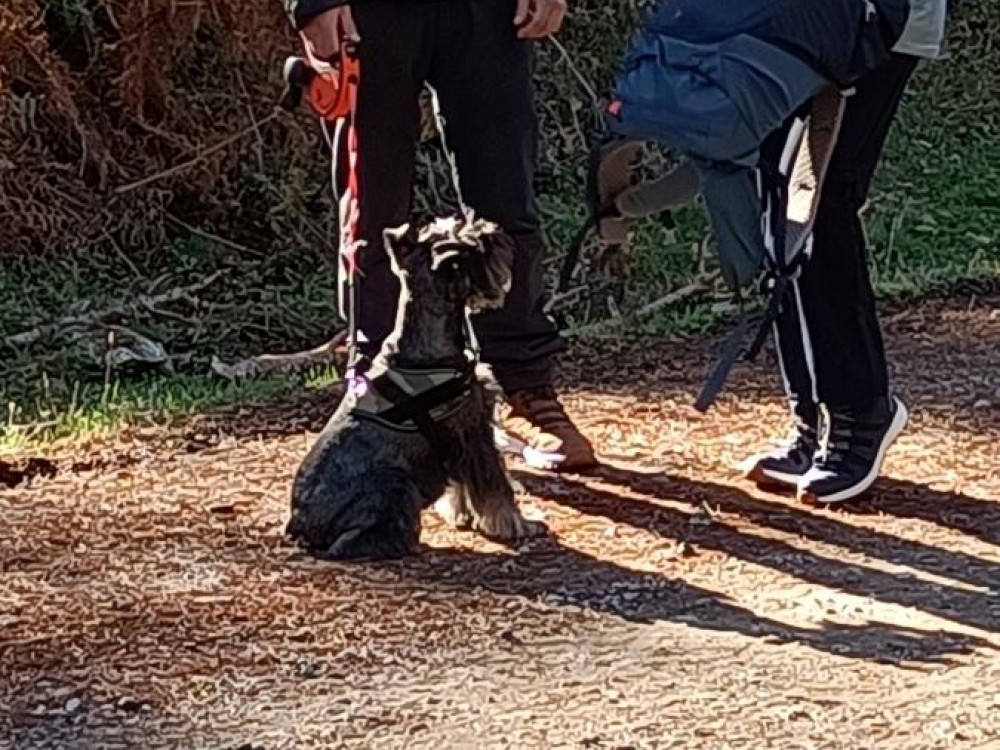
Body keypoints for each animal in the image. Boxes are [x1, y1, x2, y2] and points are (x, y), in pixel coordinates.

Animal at [286, 216, 548, 560]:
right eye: (470, 244)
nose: (494, 231)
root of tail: (299, 522)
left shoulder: (456, 442)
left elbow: (461, 486)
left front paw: (460, 515)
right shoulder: (474, 432)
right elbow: (495, 486)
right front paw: (520, 525)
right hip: (395, 483)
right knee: (353, 541)